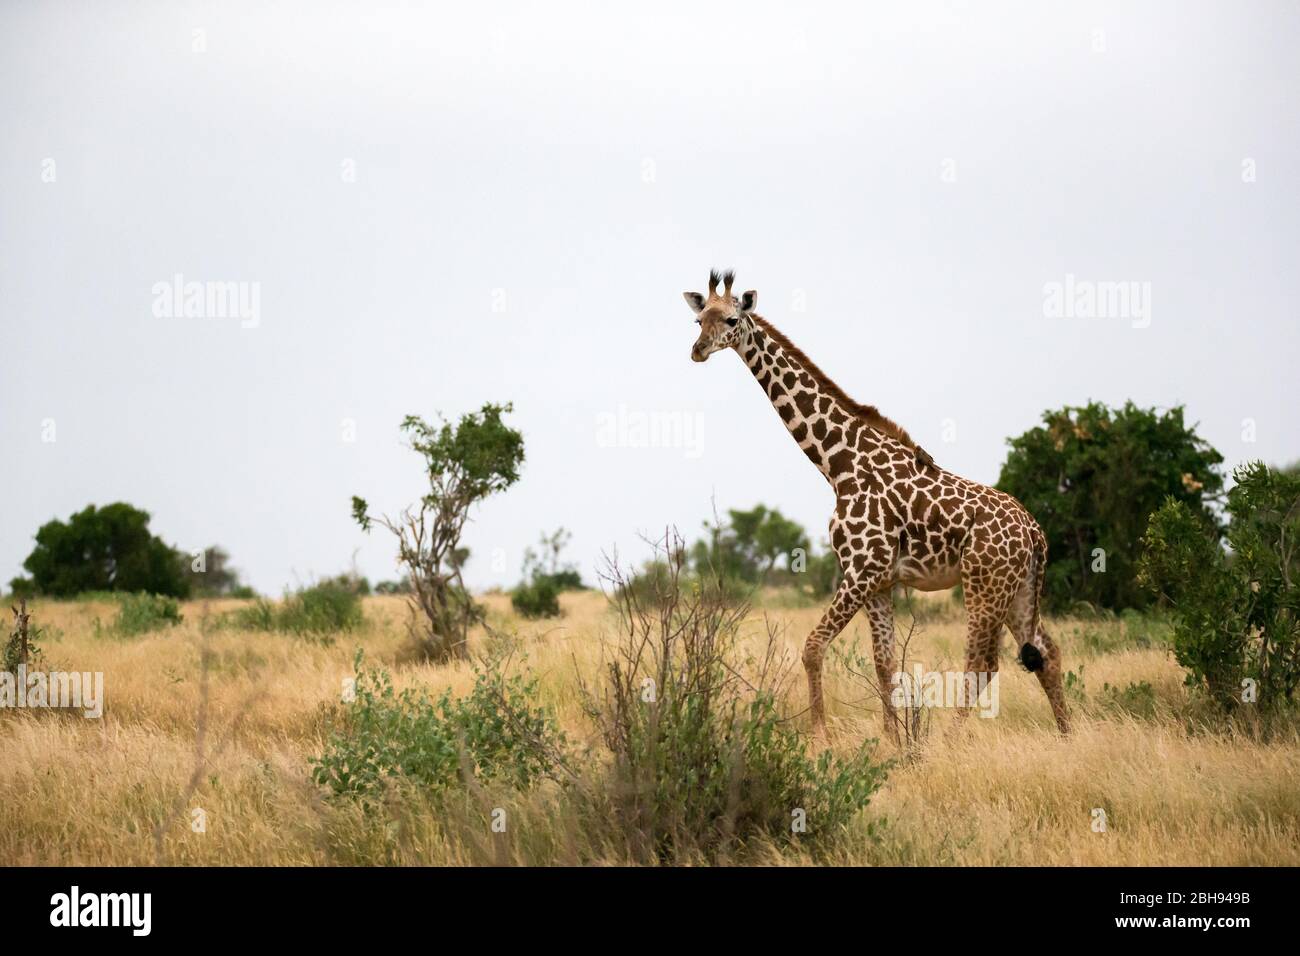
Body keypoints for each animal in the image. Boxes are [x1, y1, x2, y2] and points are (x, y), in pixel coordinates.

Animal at [686, 269, 1071, 738]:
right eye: (699, 320)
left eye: (731, 320)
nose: (698, 350)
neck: (837, 464)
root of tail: (1035, 533)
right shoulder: (879, 580)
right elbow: (884, 662)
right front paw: (893, 739)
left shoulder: (862, 570)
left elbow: (813, 647)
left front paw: (820, 735)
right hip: (1019, 589)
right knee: (1046, 652)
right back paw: (1068, 735)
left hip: (984, 584)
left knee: (983, 662)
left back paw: (952, 738)